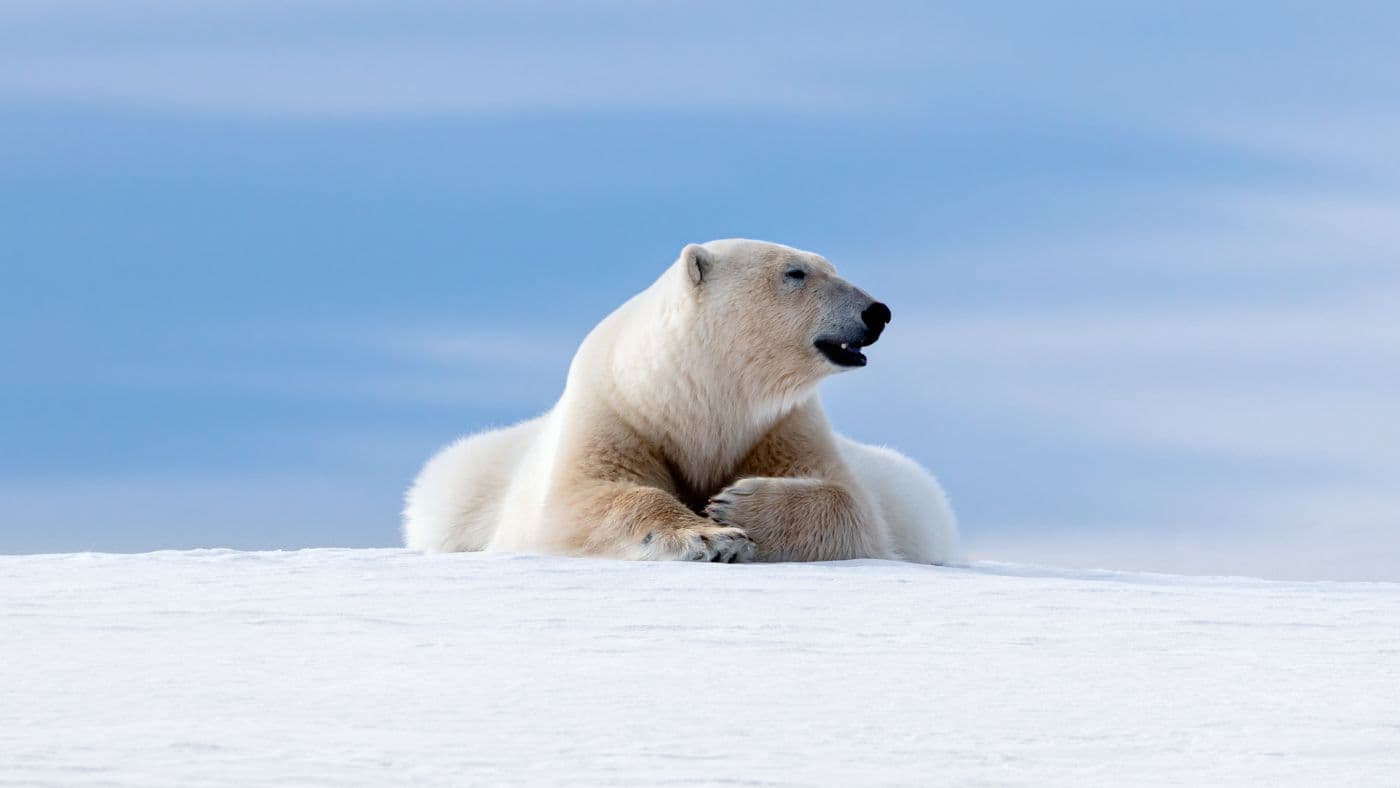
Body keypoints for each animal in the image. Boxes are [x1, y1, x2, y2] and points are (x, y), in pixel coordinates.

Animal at [403, 239, 960, 564]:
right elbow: (579, 499)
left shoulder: (781, 424)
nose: (877, 311)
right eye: (796, 273)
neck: (689, 396)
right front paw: (712, 538)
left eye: (830, 266)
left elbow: (853, 505)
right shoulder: (616, 412)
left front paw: (737, 504)